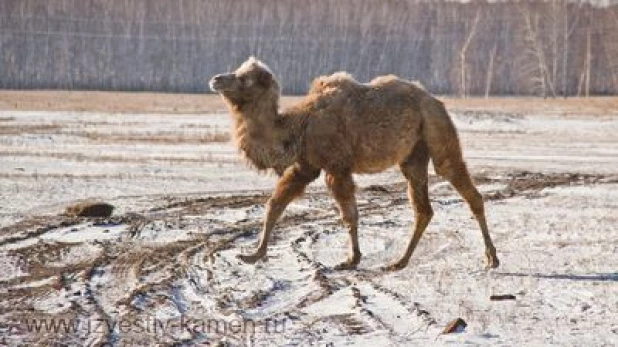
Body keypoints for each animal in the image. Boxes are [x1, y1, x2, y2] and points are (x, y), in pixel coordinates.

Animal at [209, 57, 498, 270]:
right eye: (238, 71)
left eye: (244, 78)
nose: (215, 79)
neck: (298, 125)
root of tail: (435, 100)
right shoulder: (306, 165)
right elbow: (275, 205)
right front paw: (253, 254)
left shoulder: (336, 165)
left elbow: (348, 213)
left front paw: (351, 259)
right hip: (413, 154)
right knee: (423, 208)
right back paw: (400, 261)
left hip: (436, 127)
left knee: (458, 178)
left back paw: (491, 258)